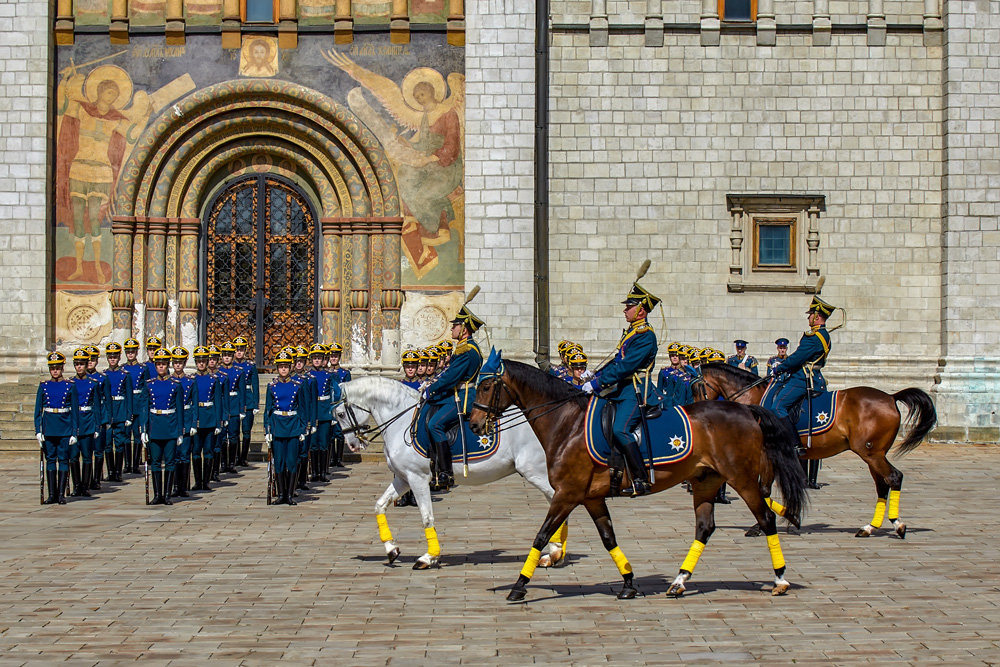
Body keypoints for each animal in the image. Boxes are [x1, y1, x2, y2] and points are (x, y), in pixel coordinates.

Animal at [336, 378, 572, 572]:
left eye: (338, 414)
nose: (353, 444)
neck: (402, 421)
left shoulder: (417, 478)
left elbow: (426, 517)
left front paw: (429, 557)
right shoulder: (403, 478)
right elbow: (380, 506)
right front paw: (391, 549)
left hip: (535, 471)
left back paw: (555, 552)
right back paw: (554, 553)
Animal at [470, 358, 812, 604]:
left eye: (485, 386)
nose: (473, 424)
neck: (567, 423)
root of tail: (746, 409)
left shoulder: (567, 494)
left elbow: (541, 536)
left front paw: (518, 586)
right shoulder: (590, 497)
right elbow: (609, 538)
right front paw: (629, 582)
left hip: (741, 478)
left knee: (765, 518)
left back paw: (780, 578)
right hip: (706, 481)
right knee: (704, 528)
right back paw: (679, 581)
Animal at [696, 362, 936, 540]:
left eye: (695, 385)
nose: (696, 413)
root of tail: (891, 397)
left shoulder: (767, 455)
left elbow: (763, 490)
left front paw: (763, 524)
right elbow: (765, 490)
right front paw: (790, 516)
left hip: (872, 454)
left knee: (894, 477)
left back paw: (898, 525)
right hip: (873, 455)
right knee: (882, 485)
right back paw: (869, 528)